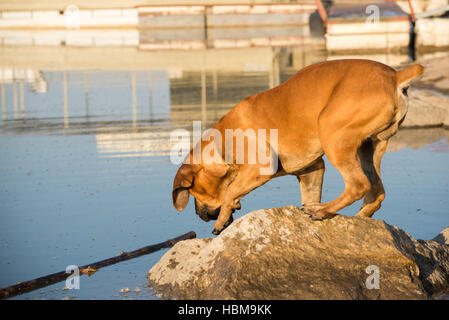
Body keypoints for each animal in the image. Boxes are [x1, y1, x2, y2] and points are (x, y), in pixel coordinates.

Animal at [172, 59, 424, 235]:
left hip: (334, 136)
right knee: (376, 191)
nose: (199, 214)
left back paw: (323, 210)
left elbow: (230, 191)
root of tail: (395, 75)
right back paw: (360, 215)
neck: (221, 142)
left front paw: (223, 218)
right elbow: (307, 194)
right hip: (370, 148)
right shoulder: (311, 171)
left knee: (358, 184)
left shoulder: (260, 168)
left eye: (194, 191)